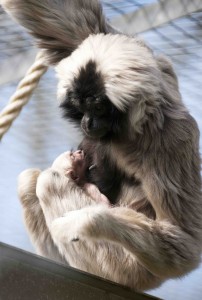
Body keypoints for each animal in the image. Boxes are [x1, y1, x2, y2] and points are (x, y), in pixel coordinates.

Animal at [3, 0, 202, 292]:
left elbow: (184, 245)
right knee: (29, 180)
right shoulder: (156, 64)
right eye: (80, 105)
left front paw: (84, 221)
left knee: (46, 181)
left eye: (98, 107)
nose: (87, 121)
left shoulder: (170, 140)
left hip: (121, 264)